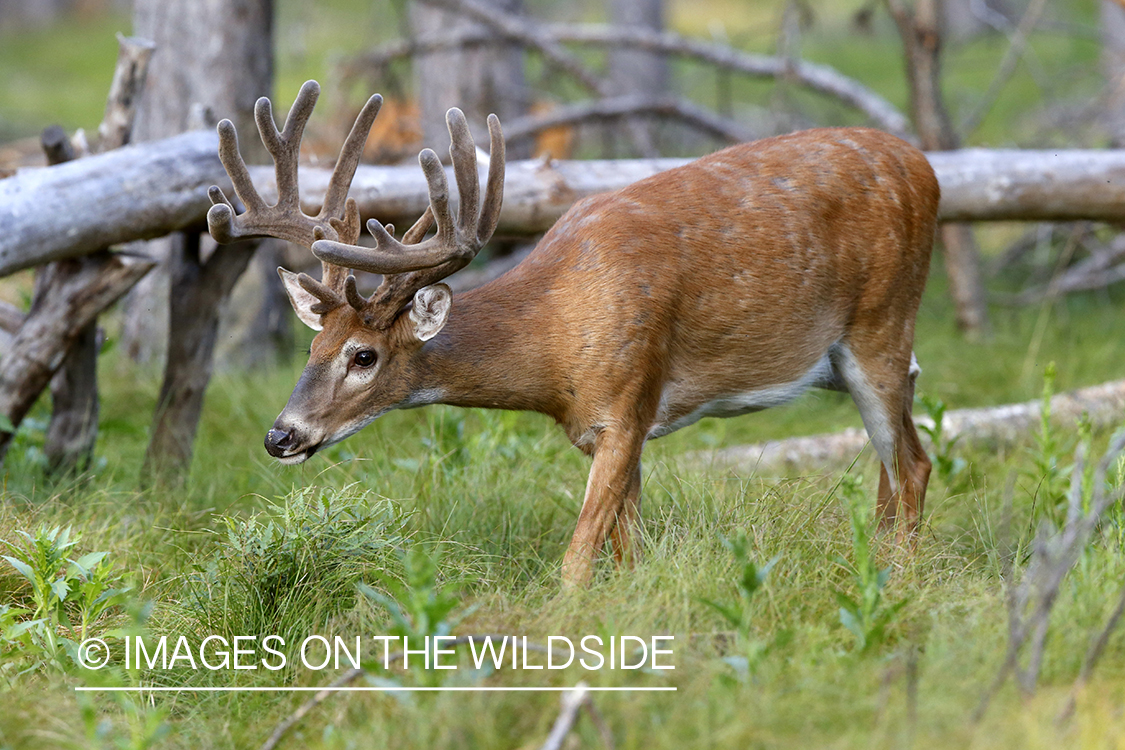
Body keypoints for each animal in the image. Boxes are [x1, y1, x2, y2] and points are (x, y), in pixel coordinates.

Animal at [209, 80, 940, 584]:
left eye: (364, 356)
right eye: (313, 347)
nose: (281, 436)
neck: (553, 345)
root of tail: (925, 165)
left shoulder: (627, 402)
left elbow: (577, 558)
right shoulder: (603, 429)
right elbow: (630, 550)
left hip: (883, 320)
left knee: (913, 461)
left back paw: (900, 584)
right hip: (849, 360)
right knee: (895, 452)